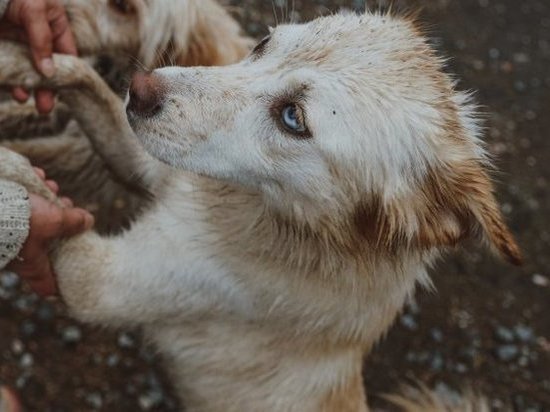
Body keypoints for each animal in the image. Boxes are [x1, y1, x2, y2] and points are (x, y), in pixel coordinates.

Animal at [0, 9, 520, 412]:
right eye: (265, 43)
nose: (141, 87)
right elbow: (81, 78)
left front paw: (12, 173)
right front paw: (23, 61)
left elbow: (34, 190)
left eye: (293, 118)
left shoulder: (96, 284)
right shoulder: (138, 160)